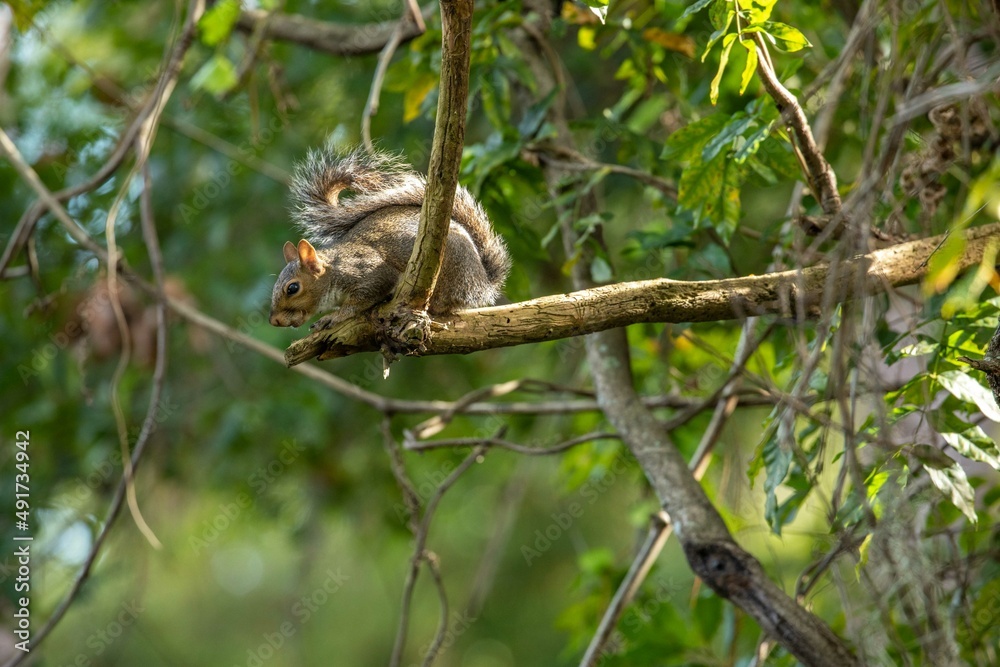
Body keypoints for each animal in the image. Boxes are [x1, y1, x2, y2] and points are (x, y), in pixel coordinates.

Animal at [270, 149, 512, 332]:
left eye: (292, 288)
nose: (275, 321)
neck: (334, 270)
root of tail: (482, 283)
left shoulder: (368, 272)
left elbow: (360, 300)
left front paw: (335, 316)